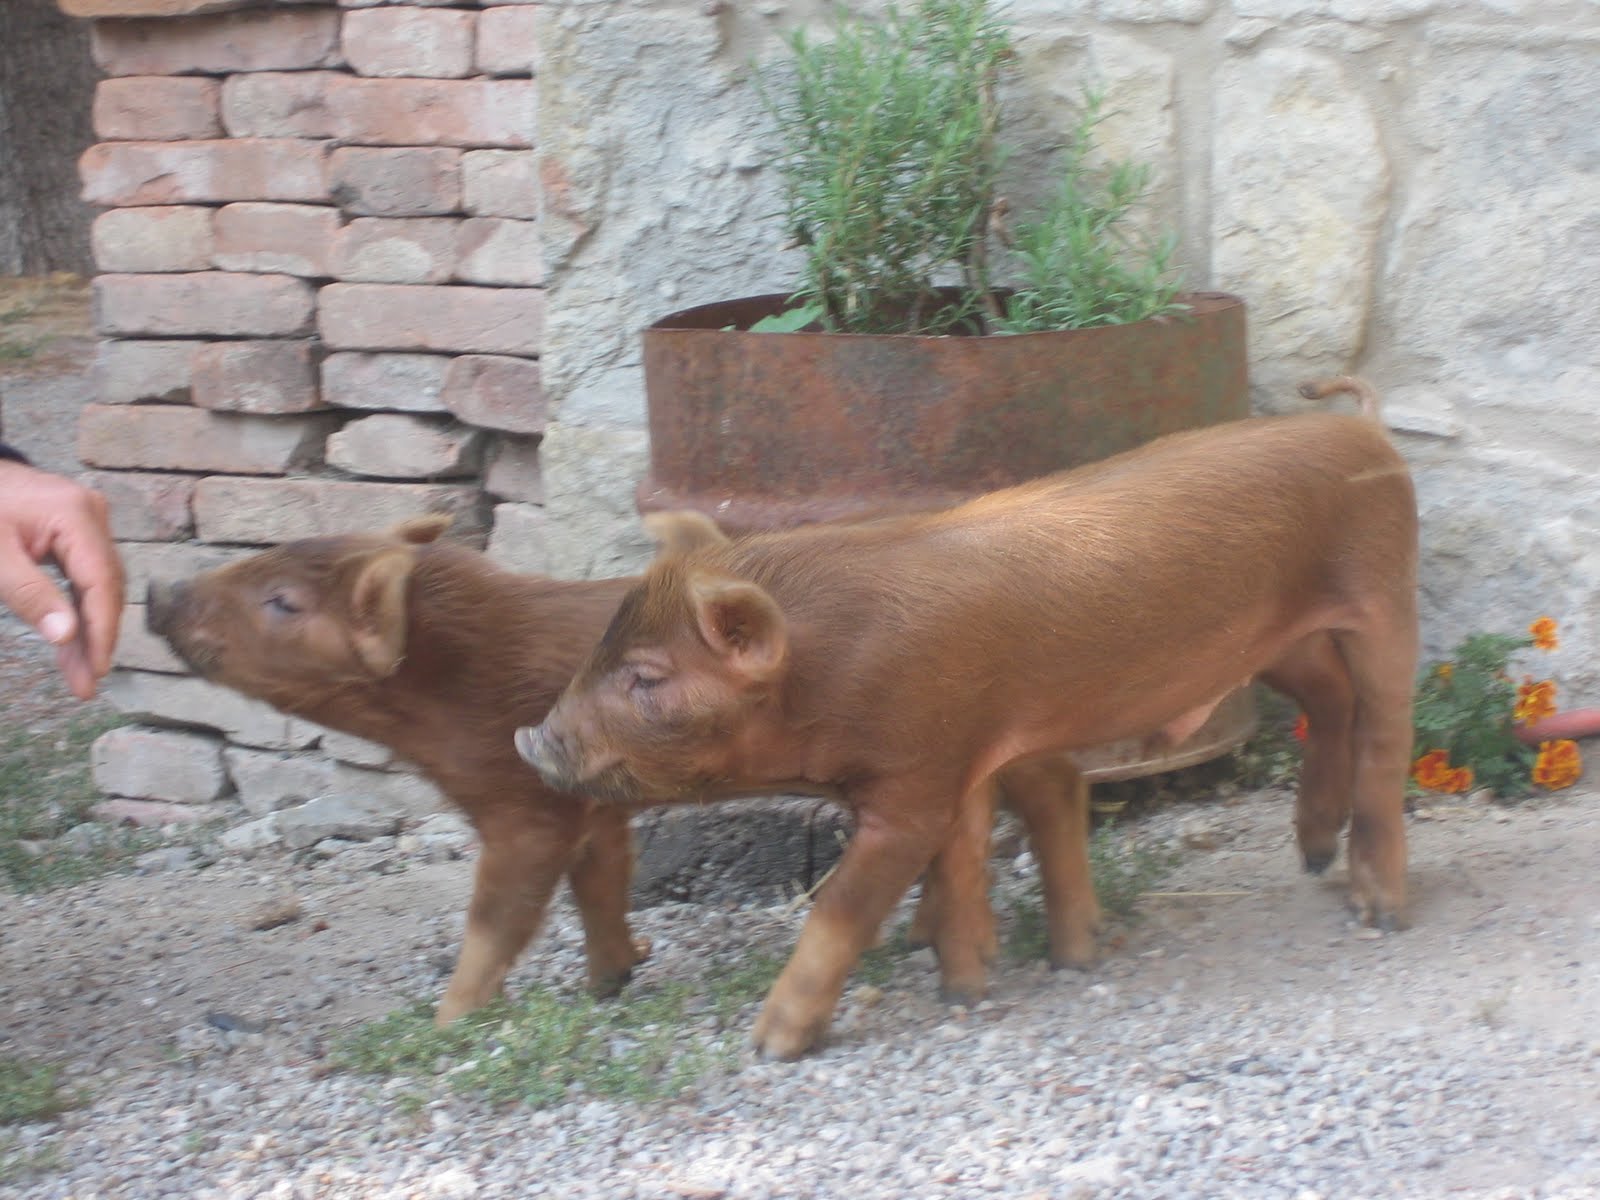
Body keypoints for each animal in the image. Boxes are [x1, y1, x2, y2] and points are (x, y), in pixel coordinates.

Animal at [518, 377, 1419, 1059]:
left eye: (646, 677)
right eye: (603, 650)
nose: (532, 738)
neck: (824, 671)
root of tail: (1365, 432)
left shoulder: (916, 776)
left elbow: (844, 903)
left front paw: (771, 1045)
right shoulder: (960, 751)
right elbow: (957, 862)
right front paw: (964, 987)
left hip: (1380, 587)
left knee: (1384, 731)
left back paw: (1380, 910)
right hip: (1274, 640)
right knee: (1330, 701)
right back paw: (1308, 856)